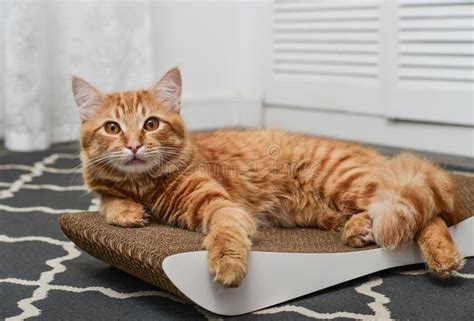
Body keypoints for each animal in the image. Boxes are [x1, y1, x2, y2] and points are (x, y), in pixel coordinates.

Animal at [72, 67, 464, 284]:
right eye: (112, 128)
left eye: (151, 124)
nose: (134, 145)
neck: (143, 185)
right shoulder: (104, 188)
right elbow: (107, 201)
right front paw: (127, 212)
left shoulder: (222, 207)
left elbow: (225, 235)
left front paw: (227, 266)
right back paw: (359, 229)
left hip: (346, 182)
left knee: (432, 214)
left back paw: (443, 257)